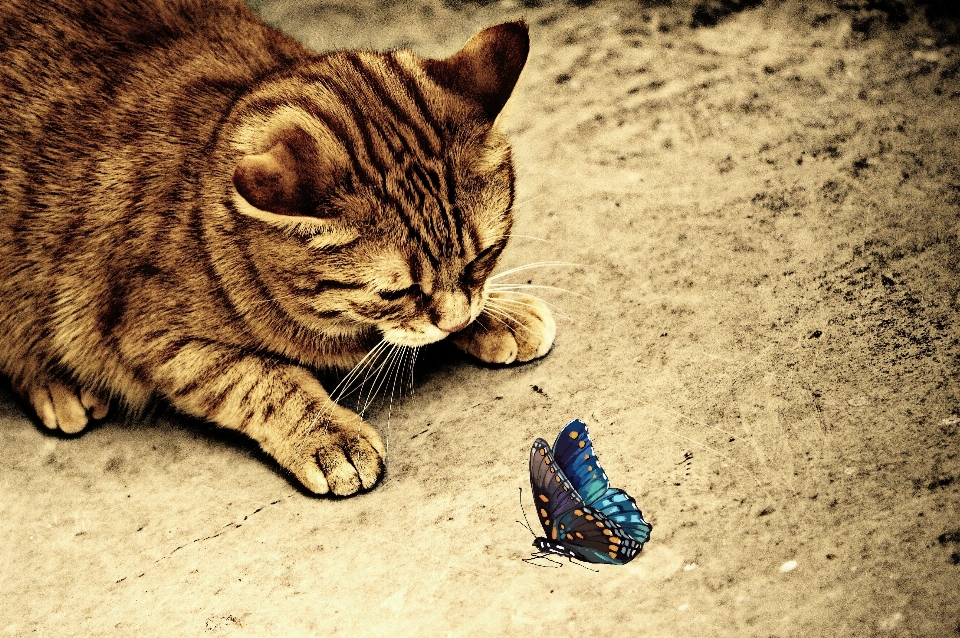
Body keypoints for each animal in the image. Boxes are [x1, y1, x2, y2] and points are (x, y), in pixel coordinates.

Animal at [0, 0, 556, 498]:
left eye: (483, 257)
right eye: (397, 293)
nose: (457, 321)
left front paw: (497, 315)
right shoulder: (156, 338)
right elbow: (264, 380)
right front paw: (327, 435)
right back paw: (59, 385)